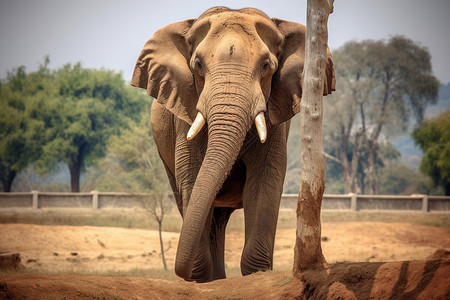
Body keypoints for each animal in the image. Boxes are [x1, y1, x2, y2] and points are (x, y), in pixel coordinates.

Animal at [130, 7, 334, 284]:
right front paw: (201, 280)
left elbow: (264, 181)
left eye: (266, 65)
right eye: (198, 64)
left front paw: (257, 275)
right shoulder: (185, 111)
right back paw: (214, 279)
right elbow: (191, 178)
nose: (180, 272)